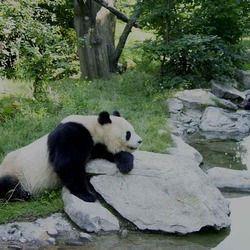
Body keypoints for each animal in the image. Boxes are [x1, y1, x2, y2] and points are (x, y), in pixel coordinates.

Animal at [0, 111, 142, 203]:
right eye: (128, 133)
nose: (140, 141)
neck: (93, 127)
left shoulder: (94, 146)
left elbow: (106, 152)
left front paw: (126, 163)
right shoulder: (72, 135)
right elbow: (67, 165)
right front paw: (87, 195)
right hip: (13, 170)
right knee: (7, 183)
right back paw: (21, 194)